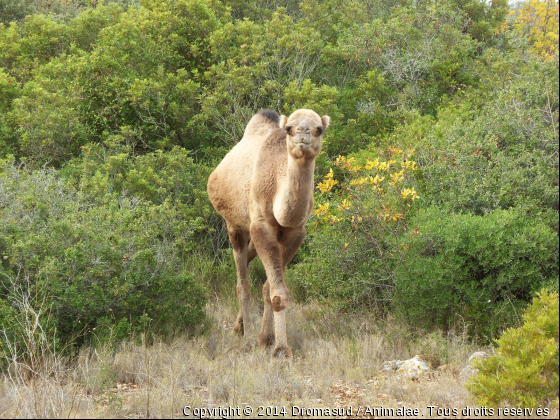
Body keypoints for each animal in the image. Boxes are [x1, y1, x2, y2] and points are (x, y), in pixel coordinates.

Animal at [208, 109, 330, 358]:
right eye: (289, 128)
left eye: (319, 129)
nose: (303, 132)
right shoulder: (261, 226)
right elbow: (277, 293)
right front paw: (281, 351)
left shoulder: (295, 233)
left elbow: (269, 288)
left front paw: (266, 339)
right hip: (234, 224)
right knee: (242, 282)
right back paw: (244, 335)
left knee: (248, 262)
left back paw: (240, 326)